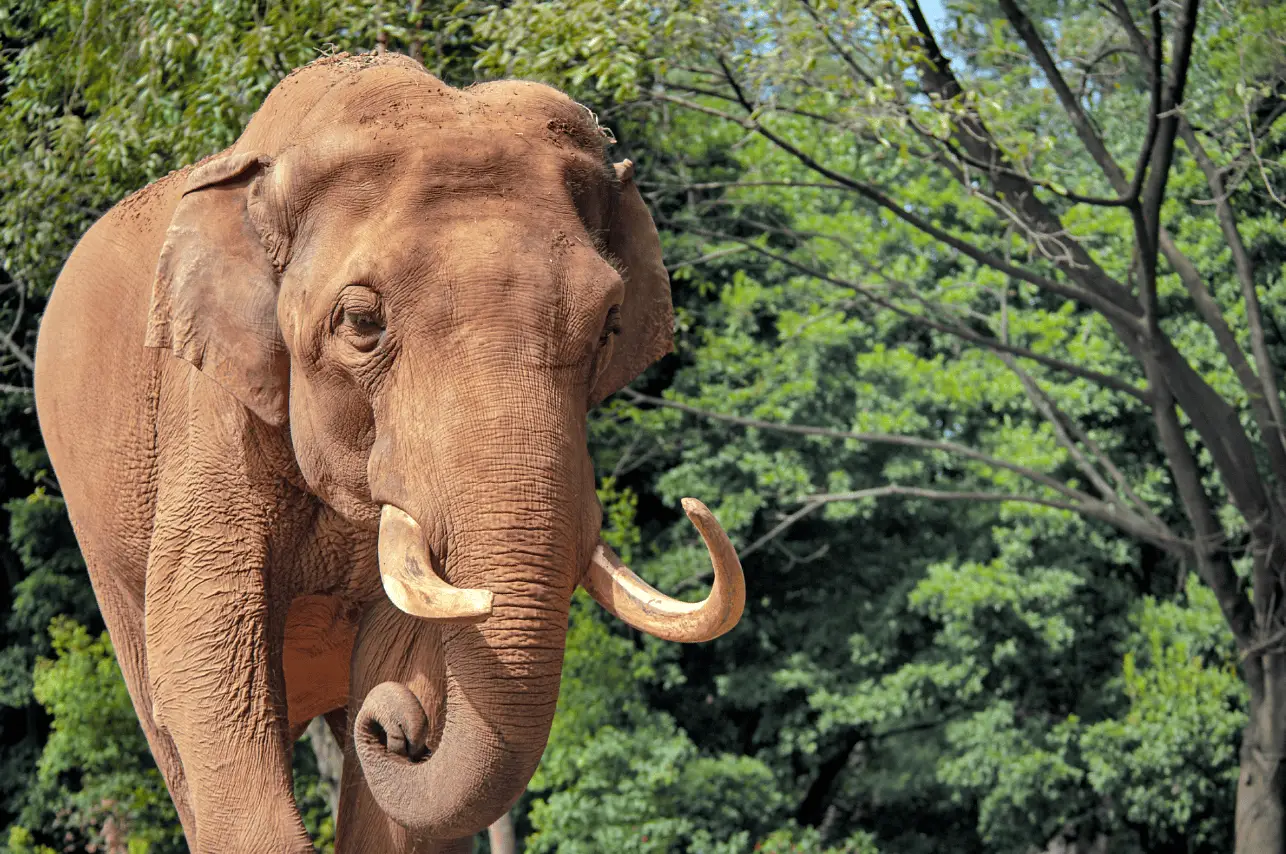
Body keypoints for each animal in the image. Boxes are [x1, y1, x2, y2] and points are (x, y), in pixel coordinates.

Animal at [32, 53, 745, 854]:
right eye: (361, 322)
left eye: (609, 325)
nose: (400, 728)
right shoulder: (211, 416)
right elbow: (204, 656)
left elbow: (406, 653)